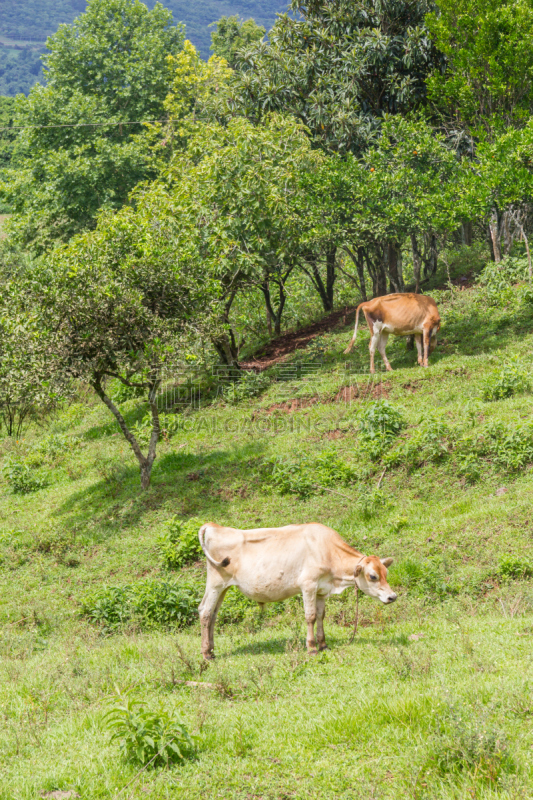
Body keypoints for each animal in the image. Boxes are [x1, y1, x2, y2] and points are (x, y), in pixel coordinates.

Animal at [196, 520, 394, 660]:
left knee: (213, 614)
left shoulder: (321, 590)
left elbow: (321, 616)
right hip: (215, 582)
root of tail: (214, 526)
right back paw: (206, 654)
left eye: (385, 573)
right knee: (205, 611)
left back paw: (211, 650)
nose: (393, 596)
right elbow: (310, 616)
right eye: (373, 576)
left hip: (223, 587)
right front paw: (312, 648)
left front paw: (323, 644)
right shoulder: (308, 584)